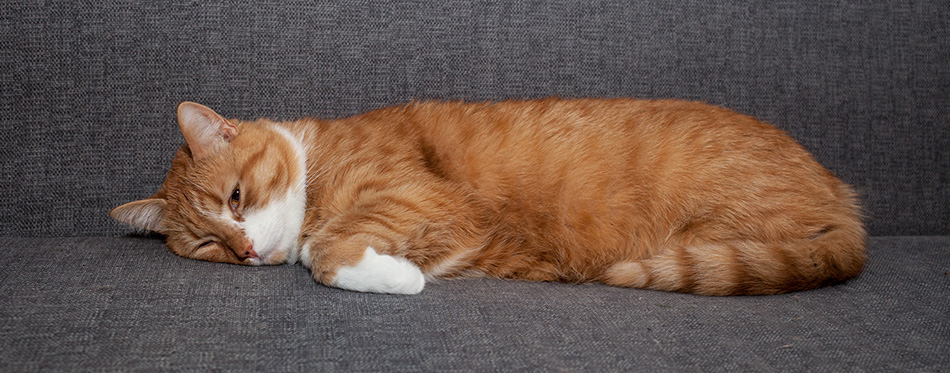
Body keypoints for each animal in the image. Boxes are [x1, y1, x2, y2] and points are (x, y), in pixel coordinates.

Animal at [111, 97, 872, 294]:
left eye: (237, 197)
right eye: (207, 243)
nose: (241, 249)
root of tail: (845, 199)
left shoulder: (425, 198)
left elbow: (328, 249)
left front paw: (401, 275)